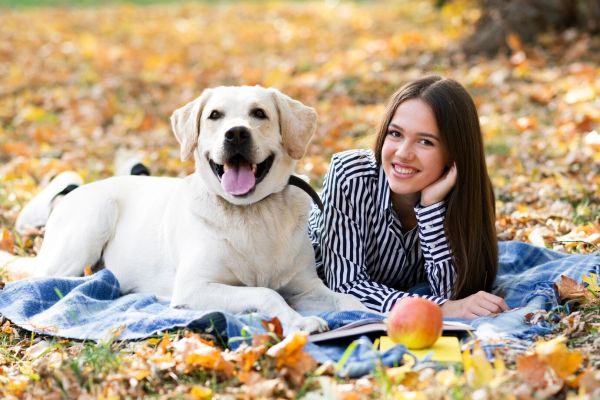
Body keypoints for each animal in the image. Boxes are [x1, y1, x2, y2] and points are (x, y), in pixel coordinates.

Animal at [2, 86, 366, 332]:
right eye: (215, 115)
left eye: (259, 114)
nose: (236, 134)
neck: (251, 212)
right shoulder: (195, 287)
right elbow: (266, 293)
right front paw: (298, 322)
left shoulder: (306, 287)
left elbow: (347, 300)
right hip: (87, 230)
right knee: (41, 278)